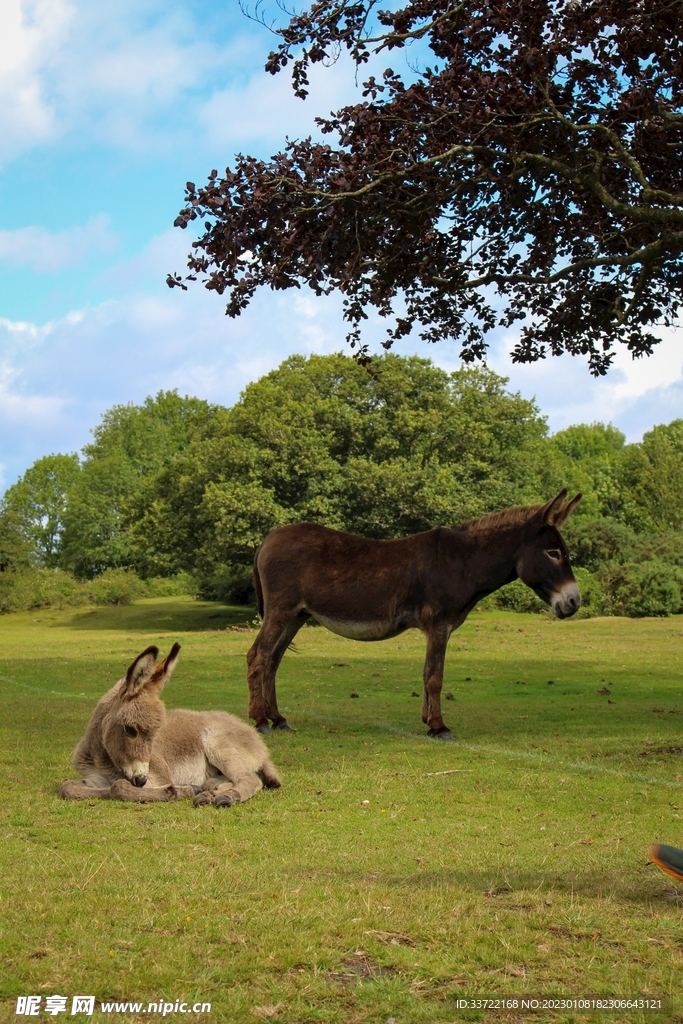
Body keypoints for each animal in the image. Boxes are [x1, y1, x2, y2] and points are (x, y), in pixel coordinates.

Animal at [60, 643, 281, 806]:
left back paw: (224, 797)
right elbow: (67, 787)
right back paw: (208, 794)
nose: (141, 780)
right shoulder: (93, 779)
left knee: (250, 779)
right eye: (130, 730)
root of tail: (254, 735)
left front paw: (179, 791)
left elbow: (119, 787)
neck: (102, 760)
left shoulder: (157, 778)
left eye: (155, 733)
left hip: (218, 745)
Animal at [246, 489, 582, 740]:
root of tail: (267, 539)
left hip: (296, 615)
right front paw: (439, 727)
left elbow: (425, 673)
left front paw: (427, 721)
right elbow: (435, 676)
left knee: (272, 660)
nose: (575, 601)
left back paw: (278, 719)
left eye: (564, 552)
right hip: (281, 610)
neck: (462, 562)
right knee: (257, 655)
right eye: (553, 553)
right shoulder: (439, 625)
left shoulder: (435, 628)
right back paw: (260, 721)